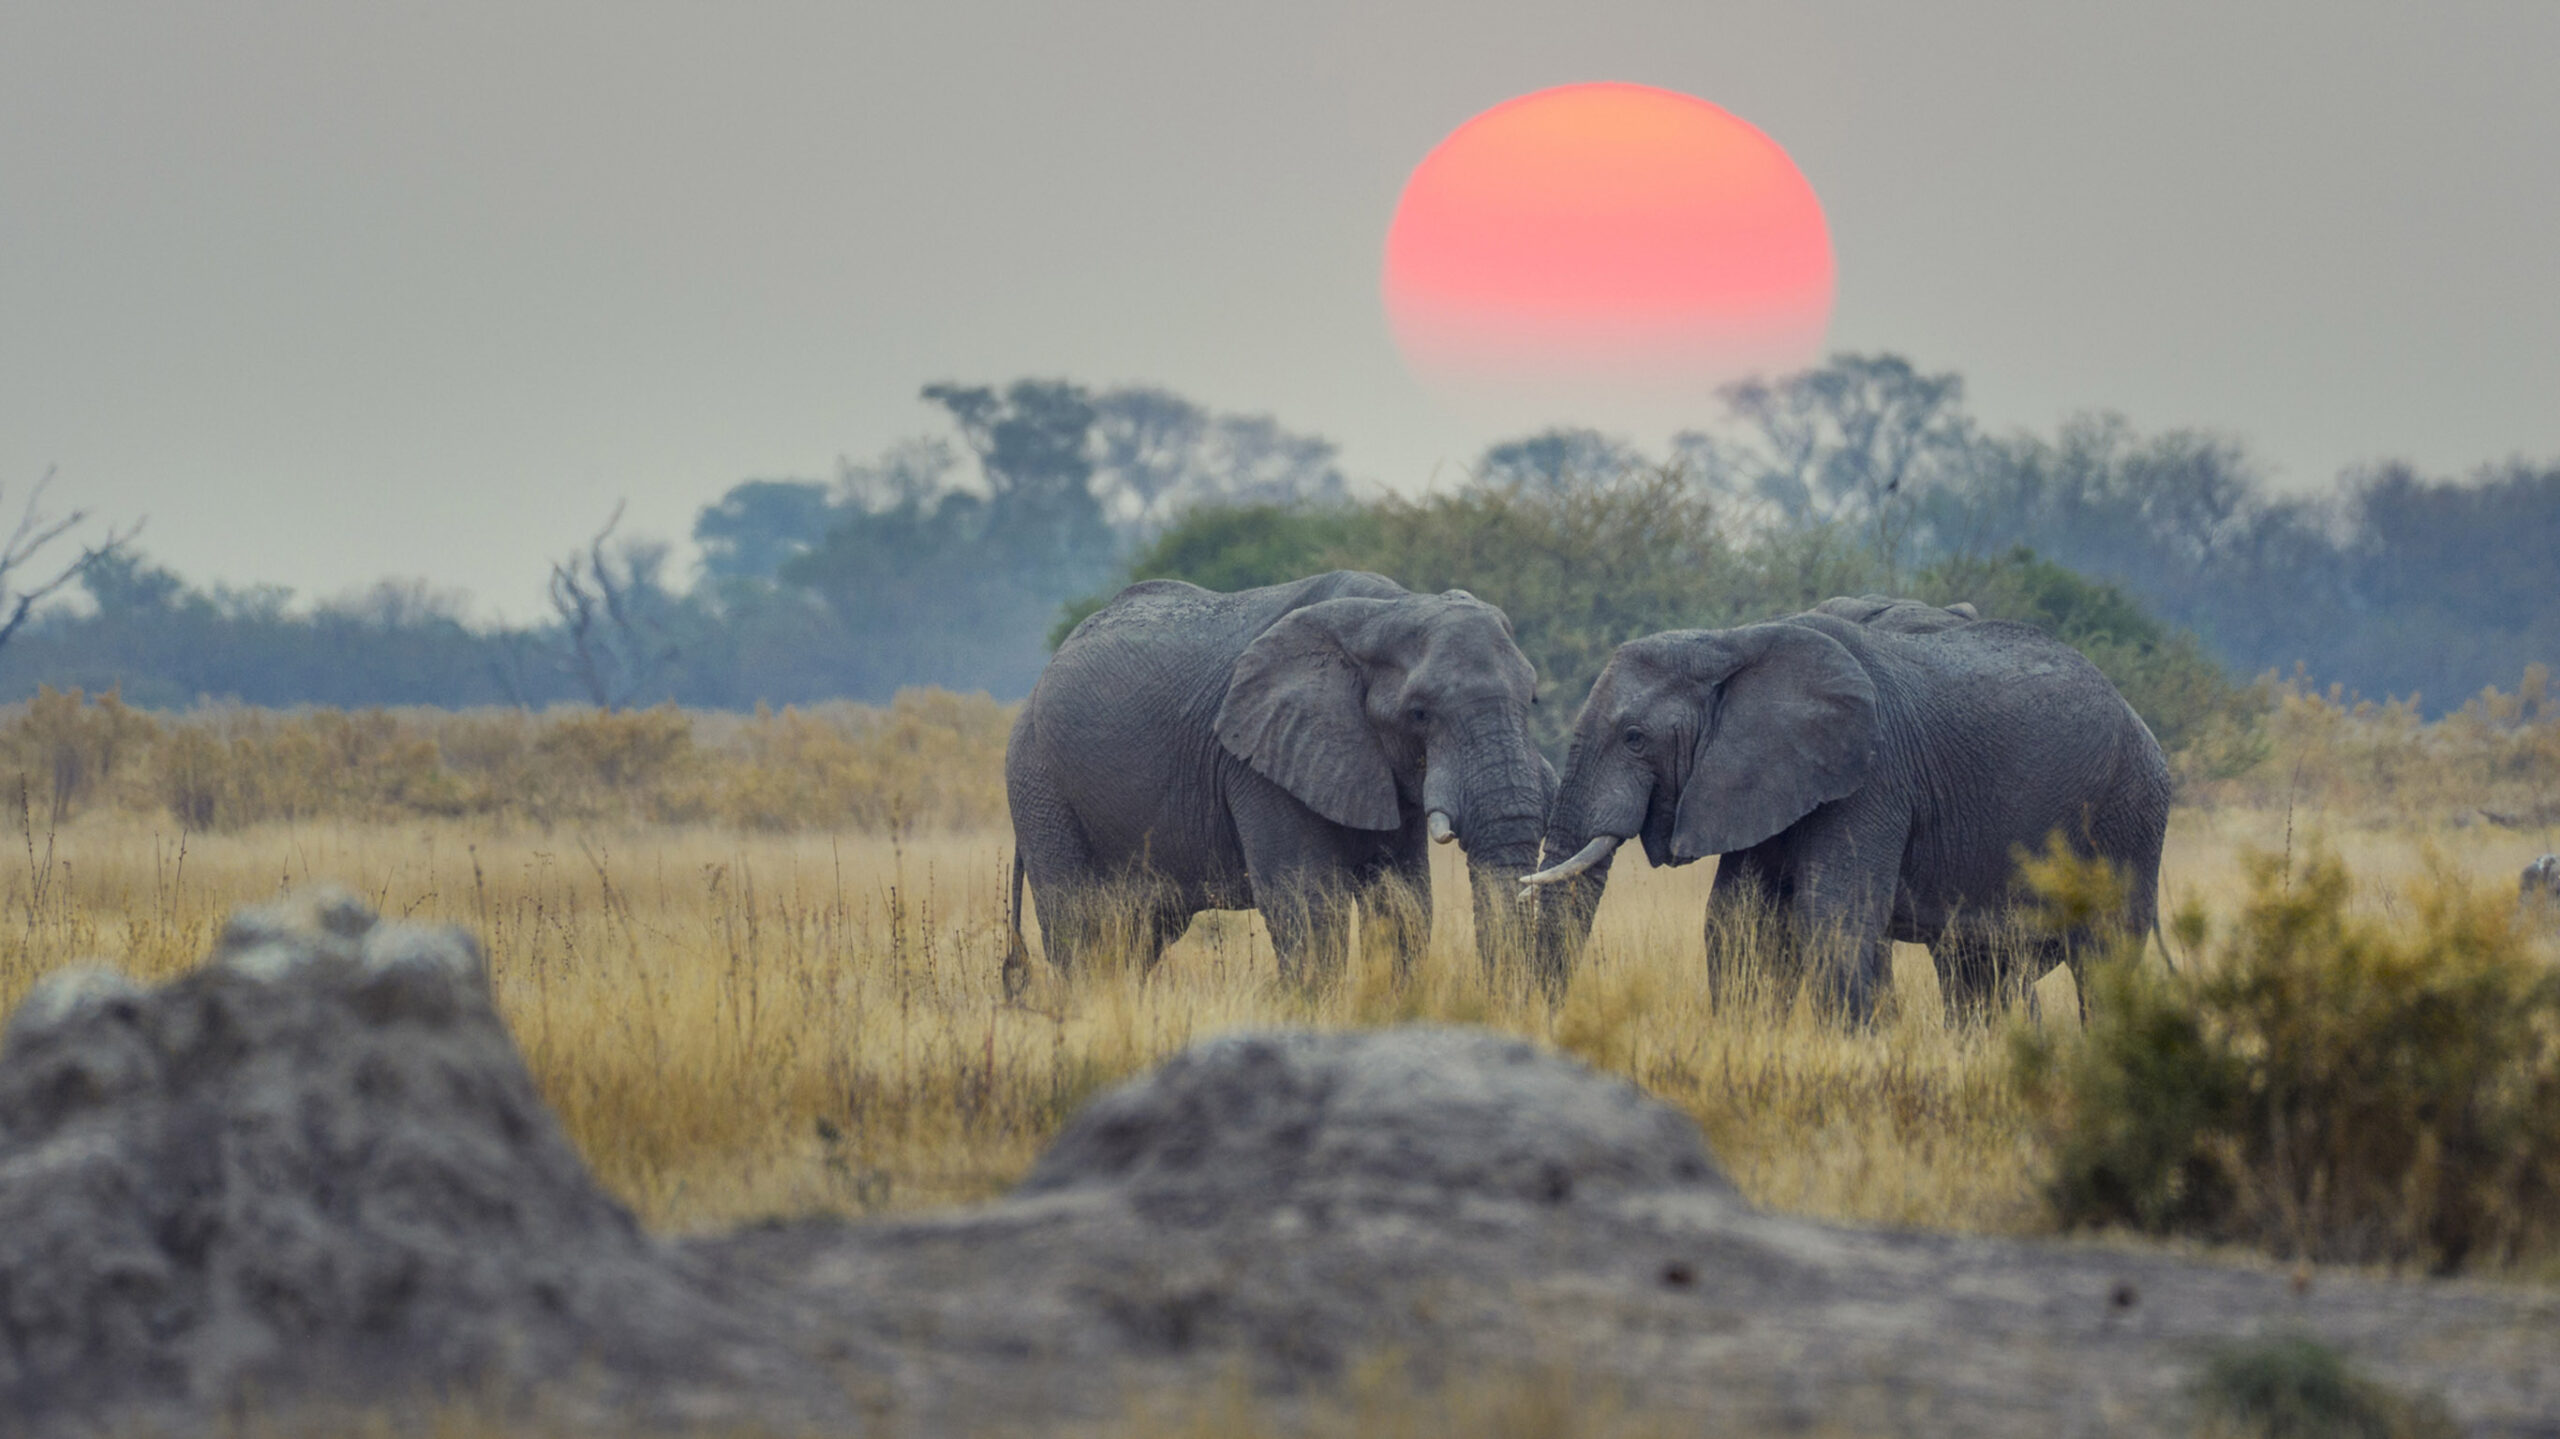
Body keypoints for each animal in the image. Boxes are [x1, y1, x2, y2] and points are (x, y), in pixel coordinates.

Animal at [1005, 570, 1551, 989]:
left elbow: (1404, 903)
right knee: (1079, 927)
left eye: (1532, 699)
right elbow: (1308, 905)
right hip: (1039, 782)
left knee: (1139, 934)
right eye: (1419, 713)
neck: (1389, 608)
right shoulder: (1258, 761)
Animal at [1524, 599, 2171, 1022]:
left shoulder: (1872, 777)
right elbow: (1739, 920)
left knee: (2104, 958)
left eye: (1634, 738)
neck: (1732, 640)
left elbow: (1834, 916)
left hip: (2129, 813)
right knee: (1979, 970)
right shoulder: (1763, 778)